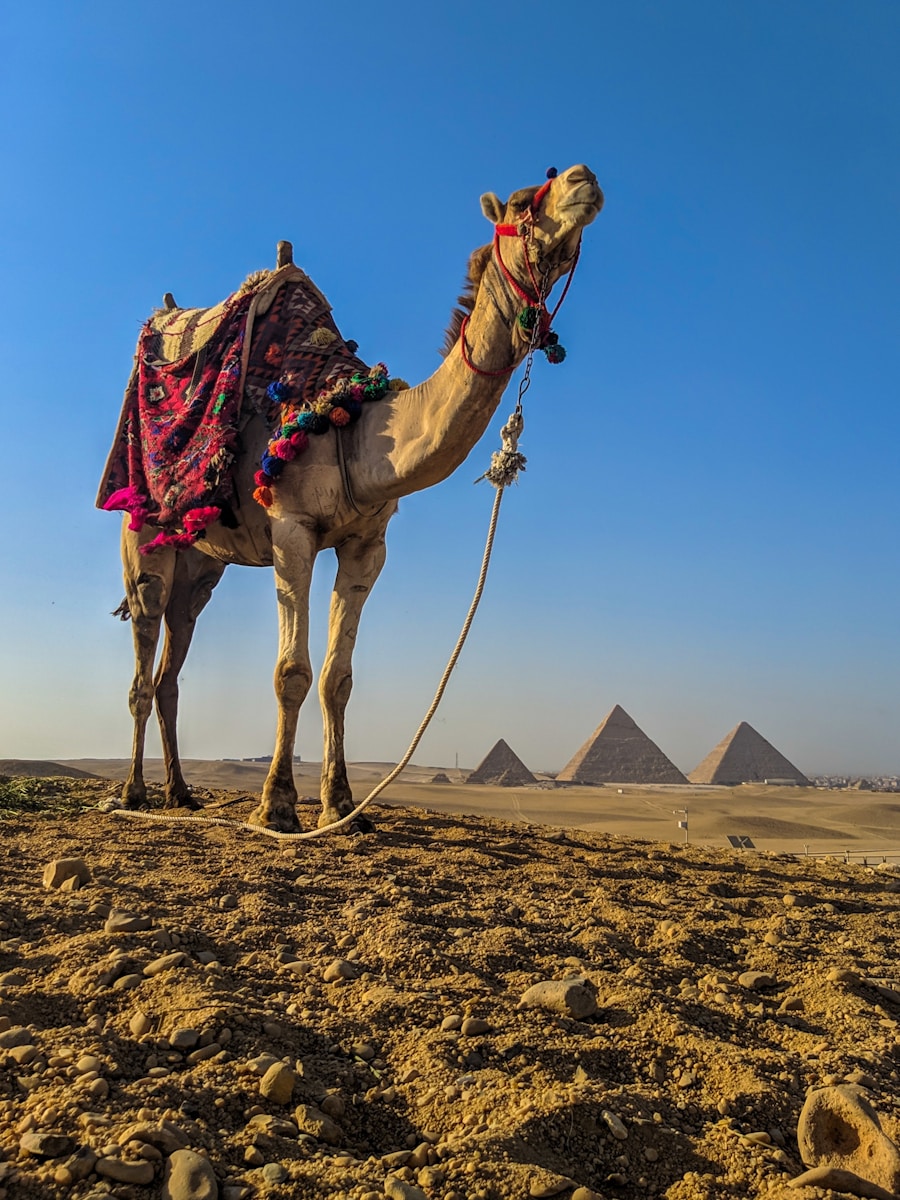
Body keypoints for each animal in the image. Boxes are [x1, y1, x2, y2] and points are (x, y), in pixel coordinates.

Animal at [109, 164, 603, 832]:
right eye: (526, 201)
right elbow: (292, 672)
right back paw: (135, 793)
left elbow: (338, 679)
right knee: (144, 647)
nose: (584, 178)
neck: (359, 429)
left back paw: (181, 793)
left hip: (202, 563)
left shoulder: (367, 543)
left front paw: (342, 805)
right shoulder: (292, 529)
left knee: (172, 660)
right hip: (144, 538)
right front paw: (277, 805)